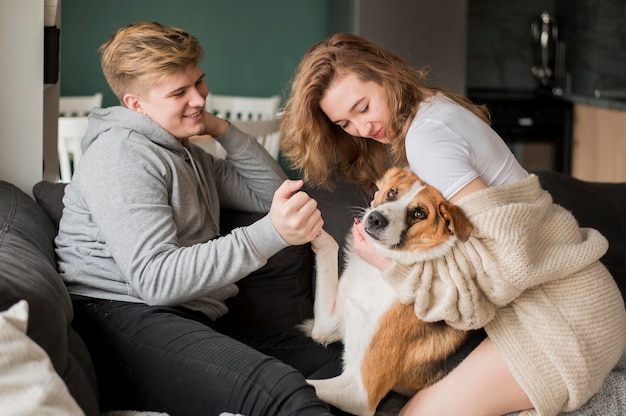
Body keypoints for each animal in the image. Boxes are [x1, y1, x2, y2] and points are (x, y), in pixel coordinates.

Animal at [300, 167, 480, 416]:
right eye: (392, 192)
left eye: (419, 213)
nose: (376, 218)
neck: (380, 271)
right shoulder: (328, 325)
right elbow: (329, 246)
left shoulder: (359, 392)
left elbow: (302, 382)